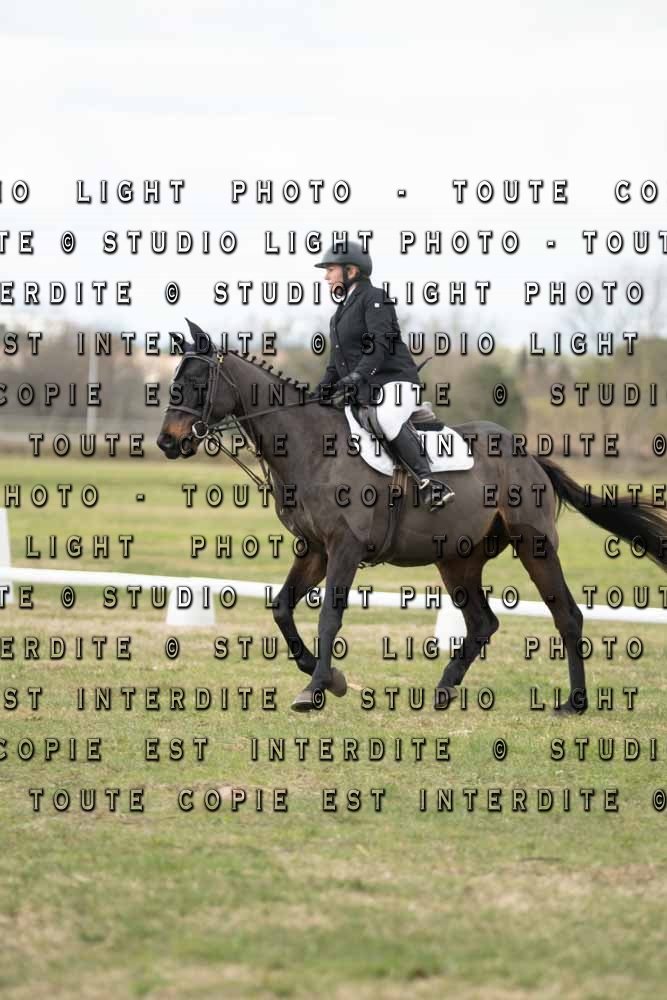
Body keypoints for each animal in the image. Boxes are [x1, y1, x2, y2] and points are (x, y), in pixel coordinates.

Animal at [157, 321, 667, 714]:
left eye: (198, 383)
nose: (166, 443)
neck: (309, 448)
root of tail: (528, 454)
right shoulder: (315, 550)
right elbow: (283, 608)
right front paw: (329, 677)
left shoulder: (344, 548)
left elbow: (328, 617)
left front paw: (316, 689)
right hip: (457, 559)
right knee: (483, 623)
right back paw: (443, 691)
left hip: (533, 545)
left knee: (567, 616)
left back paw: (574, 703)